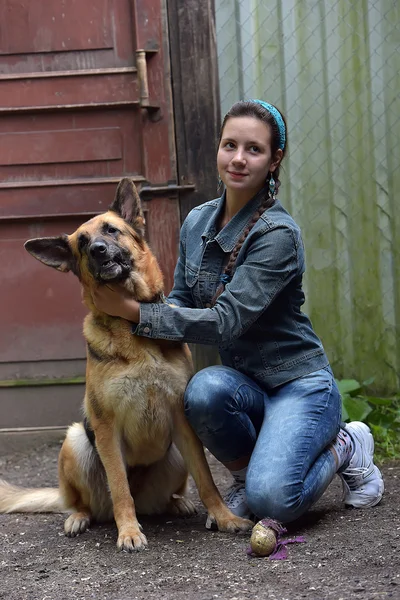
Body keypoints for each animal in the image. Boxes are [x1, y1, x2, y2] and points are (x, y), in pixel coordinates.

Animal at [0, 179, 252, 552]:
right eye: (82, 243)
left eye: (111, 230)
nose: (98, 250)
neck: (133, 327)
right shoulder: (106, 427)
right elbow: (120, 487)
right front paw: (129, 532)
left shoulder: (183, 422)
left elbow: (207, 481)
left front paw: (224, 518)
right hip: (75, 440)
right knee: (81, 502)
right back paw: (80, 518)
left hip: (176, 454)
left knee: (172, 493)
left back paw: (178, 503)